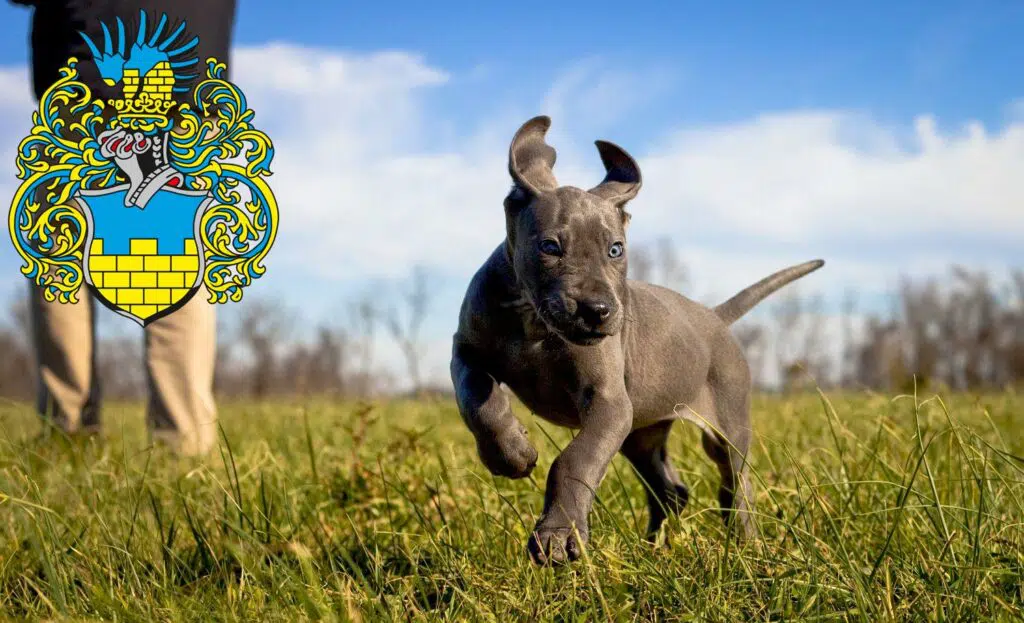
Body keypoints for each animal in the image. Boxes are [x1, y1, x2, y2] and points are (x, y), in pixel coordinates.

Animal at [452, 115, 819, 565]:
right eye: (550, 247)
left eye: (616, 250)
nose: (597, 311)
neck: (534, 324)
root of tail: (715, 317)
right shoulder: (465, 351)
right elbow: (477, 400)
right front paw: (511, 453)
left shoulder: (609, 402)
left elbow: (576, 459)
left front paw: (557, 534)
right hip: (641, 433)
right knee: (670, 491)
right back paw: (650, 551)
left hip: (725, 425)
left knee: (736, 484)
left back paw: (746, 548)